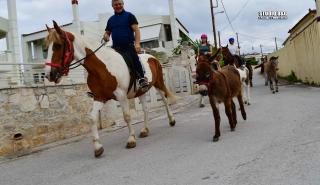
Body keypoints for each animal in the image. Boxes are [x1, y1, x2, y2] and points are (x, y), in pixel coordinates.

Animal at [44, 21, 178, 158]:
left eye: (58, 45)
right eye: (46, 48)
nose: (49, 75)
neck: (102, 67)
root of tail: (153, 57)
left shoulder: (121, 95)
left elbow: (127, 116)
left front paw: (131, 140)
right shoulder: (99, 97)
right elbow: (92, 118)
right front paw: (98, 147)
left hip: (158, 84)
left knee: (165, 100)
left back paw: (171, 120)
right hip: (141, 91)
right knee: (146, 109)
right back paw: (145, 130)